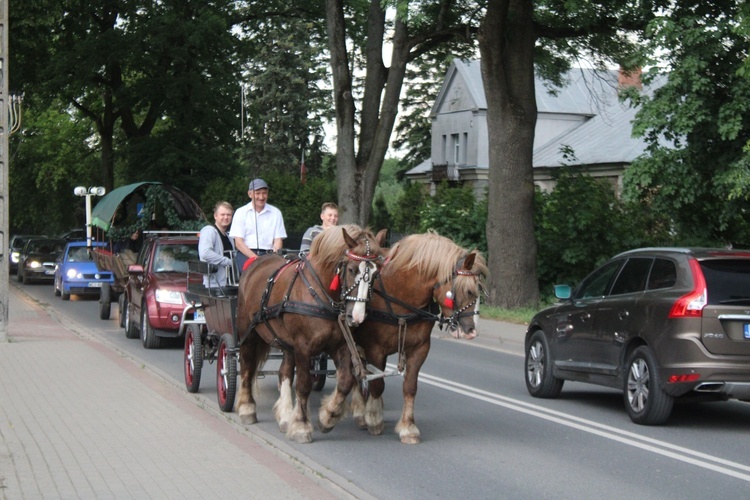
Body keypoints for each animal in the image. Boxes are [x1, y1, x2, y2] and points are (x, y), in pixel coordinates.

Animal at [235, 225, 388, 444]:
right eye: (351, 269)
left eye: (375, 274)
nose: (357, 316)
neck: (321, 294)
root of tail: (256, 262)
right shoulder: (303, 347)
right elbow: (304, 385)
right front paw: (301, 426)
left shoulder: (340, 345)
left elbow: (345, 381)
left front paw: (328, 417)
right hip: (248, 333)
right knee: (247, 366)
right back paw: (247, 408)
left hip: (286, 342)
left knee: (284, 372)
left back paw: (285, 416)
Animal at [352, 232, 488, 444]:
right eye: (468, 291)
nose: (472, 331)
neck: (400, 295)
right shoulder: (375, 349)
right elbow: (377, 384)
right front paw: (373, 418)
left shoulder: (419, 349)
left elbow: (410, 387)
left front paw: (408, 428)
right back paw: (360, 411)